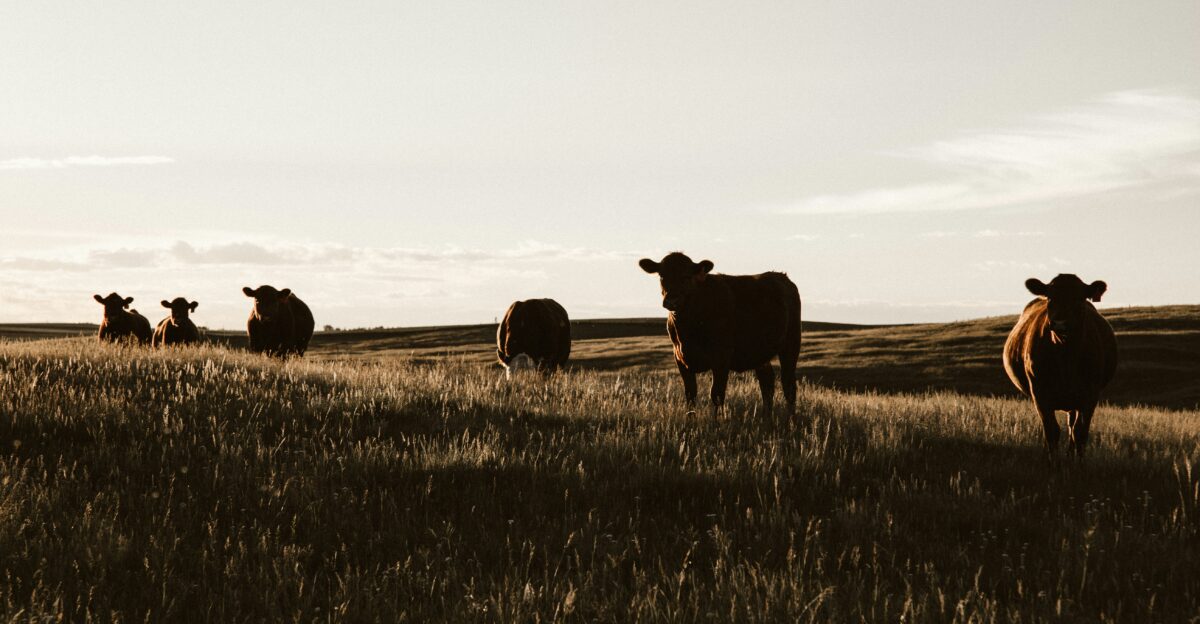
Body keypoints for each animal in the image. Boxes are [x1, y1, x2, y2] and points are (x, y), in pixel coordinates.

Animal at [639, 252, 801, 418]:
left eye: (686, 276)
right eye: (662, 276)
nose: (671, 300)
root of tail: (780, 276)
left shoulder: (721, 357)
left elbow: (716, 394)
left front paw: (716, 422)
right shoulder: (680, 358)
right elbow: (690, 395)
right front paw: (690, 422)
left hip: (791, 343)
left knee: (788, 384)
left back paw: (791, 418)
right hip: (759, 352)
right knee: (767, 382)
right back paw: (766, 417)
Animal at [1002, 274, 1118, 459]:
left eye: (1079, 298)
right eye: (1050, 297)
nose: (1060, 323)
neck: (1066, 357)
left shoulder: (1090, 394)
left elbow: (1080, 433)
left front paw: (1078, 462)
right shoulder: (1040, 393)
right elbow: (1051, 431)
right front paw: (1053, 461)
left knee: (1071, 425)